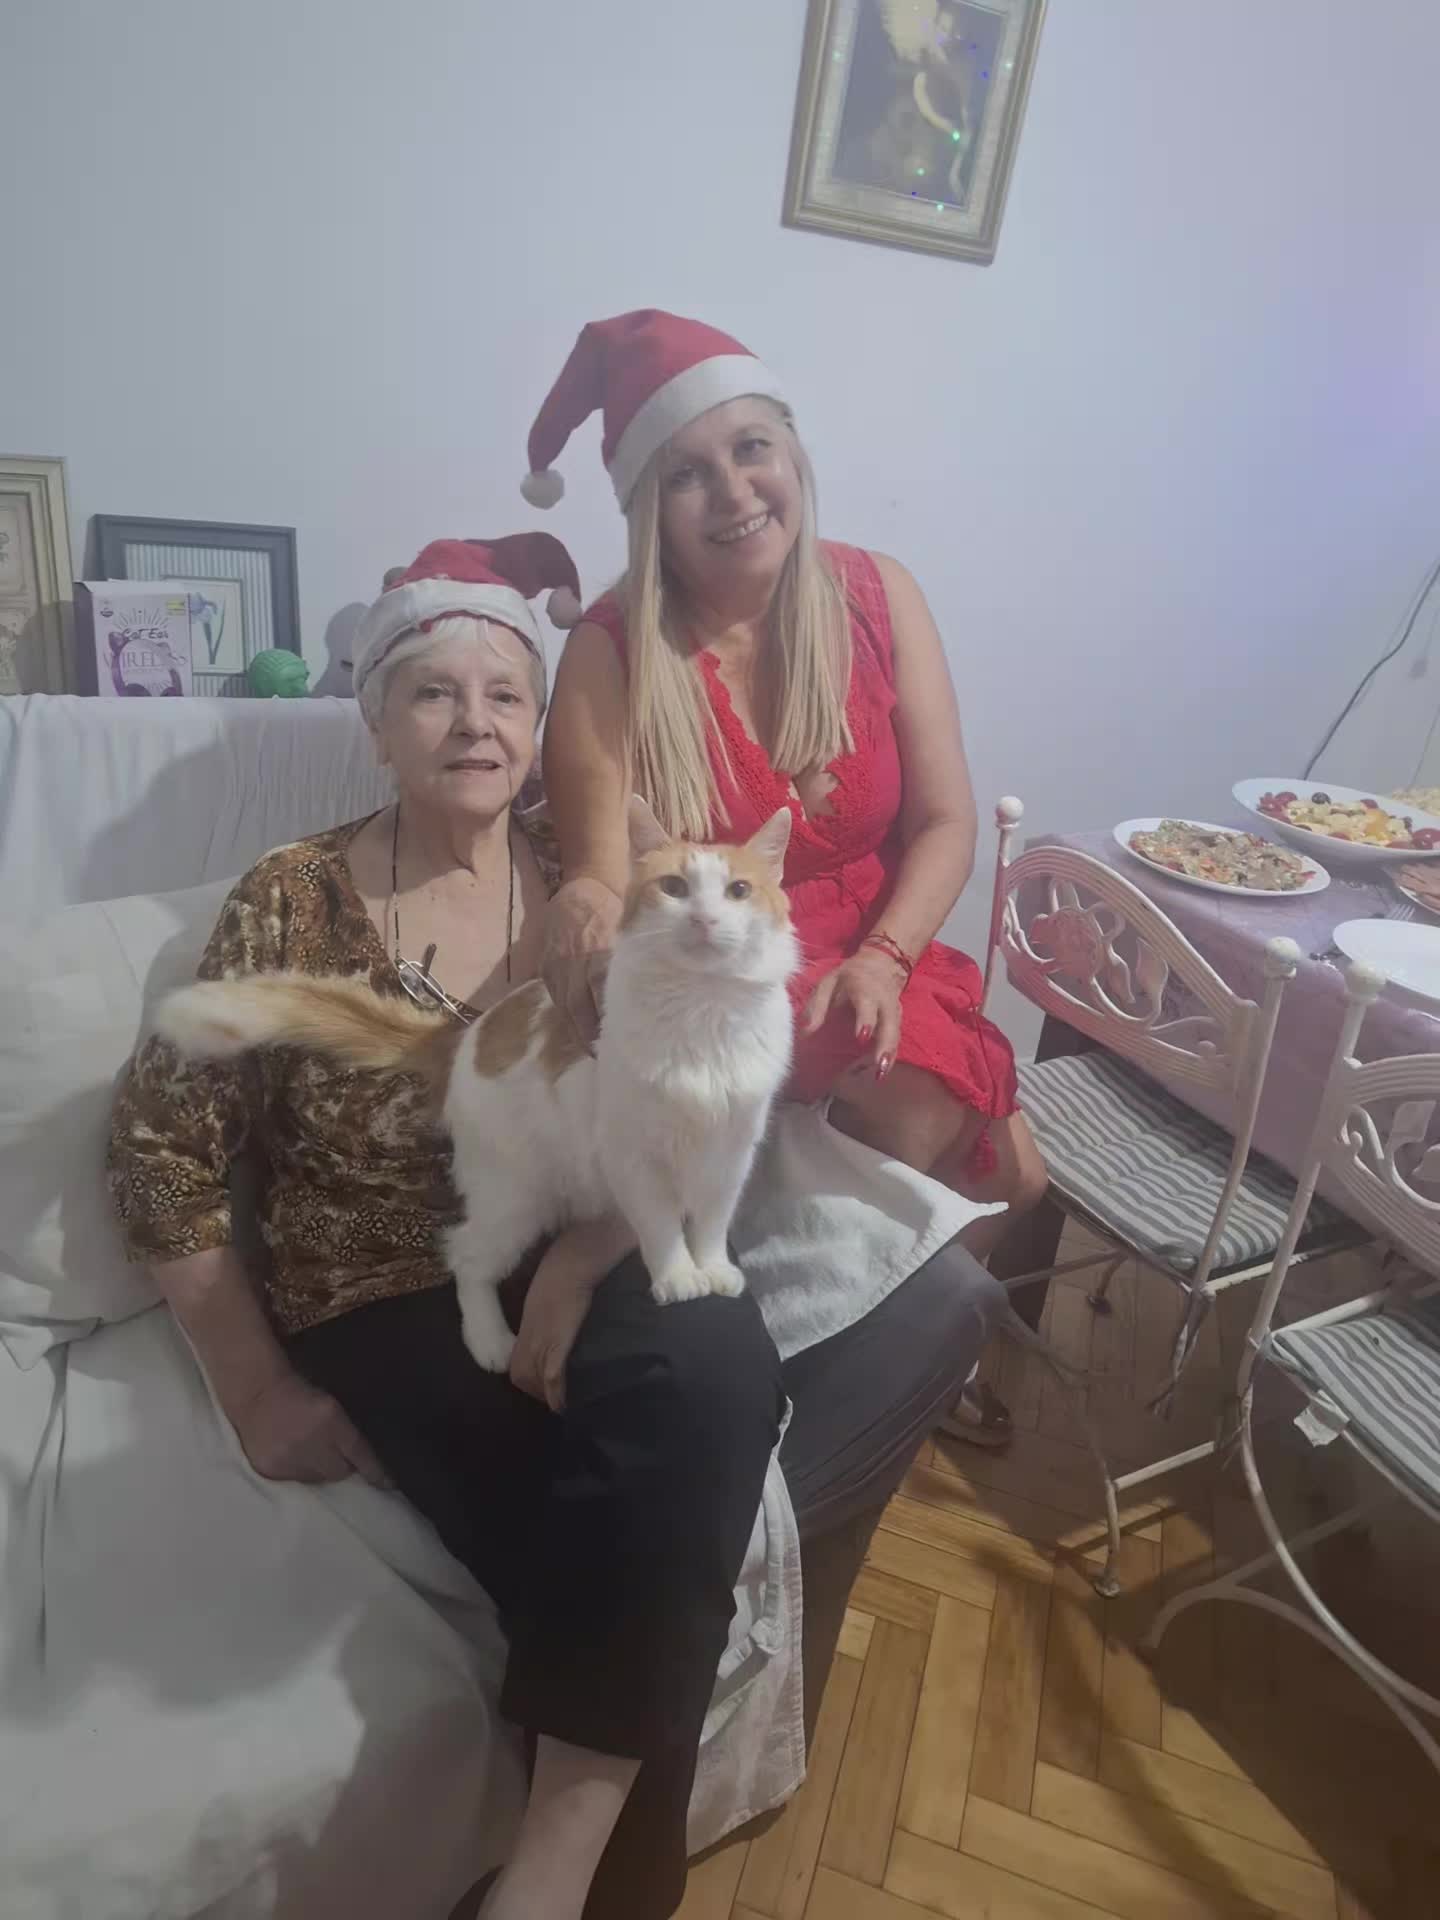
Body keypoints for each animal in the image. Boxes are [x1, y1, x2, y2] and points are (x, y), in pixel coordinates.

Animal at [157, 798, 798, 1372]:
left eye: (738, 892)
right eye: (674, 887)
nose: (704, 920)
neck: (702, 1013)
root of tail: (464, 1038)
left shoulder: (730, 1154)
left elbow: (711, 1221)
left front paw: (713, 1270)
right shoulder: (634, 1156)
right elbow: (663, 1225)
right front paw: (678, 1278)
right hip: (515, 1197)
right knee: (465, 1258)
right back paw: (491, 1343)